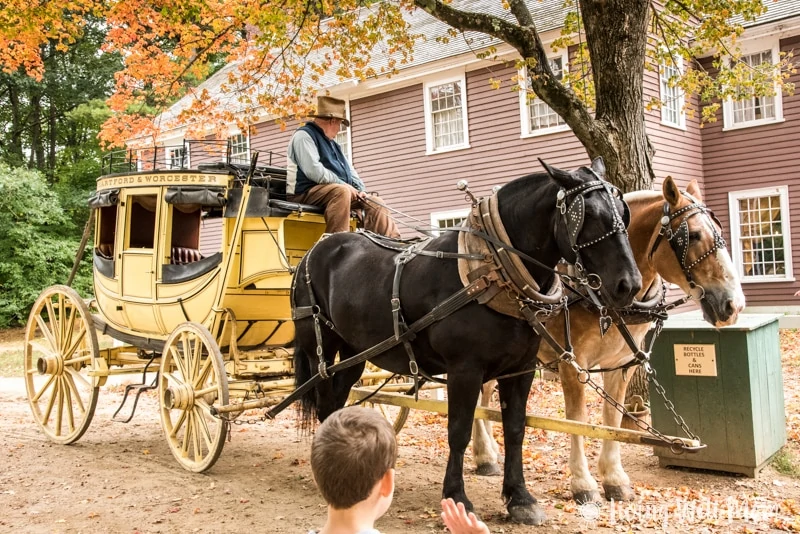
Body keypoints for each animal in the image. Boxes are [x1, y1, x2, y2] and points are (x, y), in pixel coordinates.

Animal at [290, 160, 640, 528]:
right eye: (590, 216)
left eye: (624, 213)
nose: (628, 285)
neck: (492, 270)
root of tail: (318, 247)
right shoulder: (464, 370)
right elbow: (458, 430)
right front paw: (457, 496)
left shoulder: (521, 370)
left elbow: (515, 429)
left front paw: (519, 498)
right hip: (320, 348)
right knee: (324, 401)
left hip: (355, 351)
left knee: (336, 401)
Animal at [472, 179, 748, 506]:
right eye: (692, 235)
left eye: (718, 230)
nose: (734, 305)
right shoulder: (572, 364)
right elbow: (577, 419)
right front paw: (583, 483)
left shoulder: (621, 364)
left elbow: (612, 418)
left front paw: (614, 478)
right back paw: (484, 454)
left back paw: (486, 452)